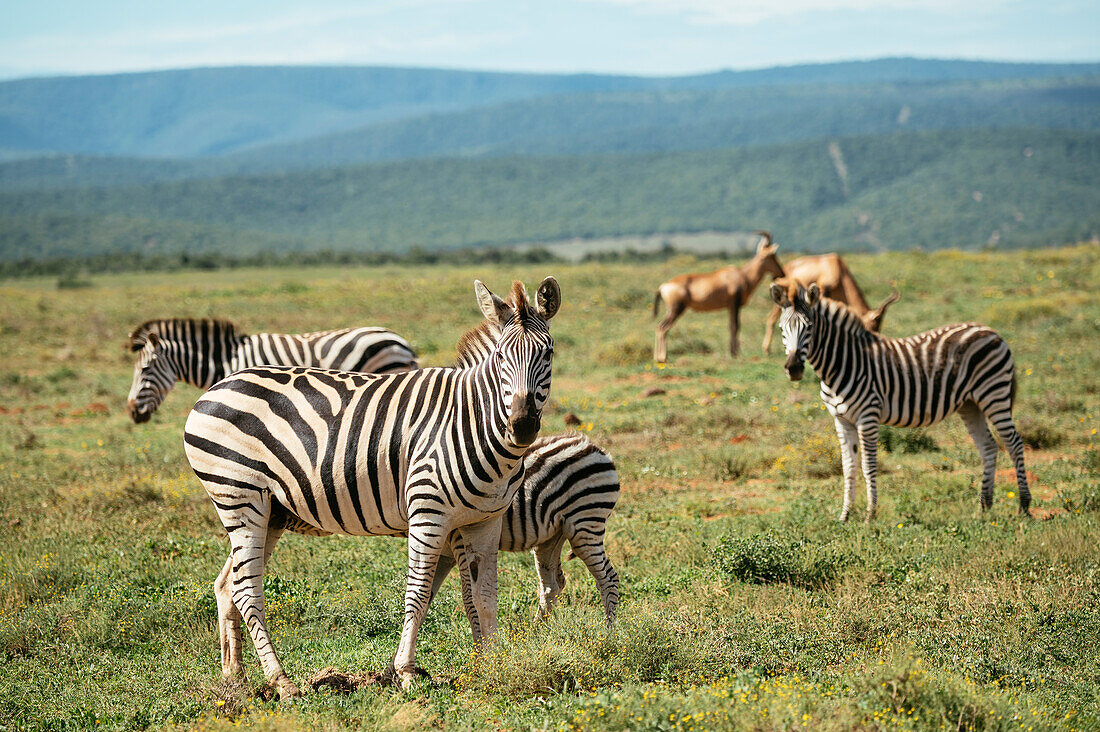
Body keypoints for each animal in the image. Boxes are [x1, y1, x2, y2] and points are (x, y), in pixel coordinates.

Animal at [183, 277, 558, 695]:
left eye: (548, 354)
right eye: (501, 357)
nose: (521, 426)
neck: (471, 421)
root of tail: (215, 388)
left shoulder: (484, 521)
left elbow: (484, 595)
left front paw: (491, 666)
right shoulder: (427, 514)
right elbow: (419, 592)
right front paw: (406, 671)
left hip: (270, 513)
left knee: (228, 584)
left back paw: (235, 676)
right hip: (238, 495)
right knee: (248, 588)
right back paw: (282, 682)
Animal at [651, 231, 783, 363]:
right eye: (772, 256)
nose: (781, 274)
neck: (742, 275)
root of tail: (663, 286)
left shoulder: (730, 307)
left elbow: (732, 326)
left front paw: (733, 352)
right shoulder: (735, 304)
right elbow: (735, 326)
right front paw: (735, 354)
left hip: (670, 310)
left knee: (659, 327)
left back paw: (657, 357)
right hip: (676, 309)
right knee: (662, 328)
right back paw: (662, 358)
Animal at [770, 279, 1025, 519]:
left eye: (810, 328)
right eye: (782, 329)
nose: (793, 369)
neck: (841, 365)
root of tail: (990, 330)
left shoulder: (868, 416)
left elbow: (868, 466)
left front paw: (870, 514)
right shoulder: (841, 420)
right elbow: (848, 467)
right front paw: (845, 515)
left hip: (994, 393)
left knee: (1014, 442)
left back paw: (1024, 507)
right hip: (970, 404)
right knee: (988, 447)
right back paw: (983, 508)